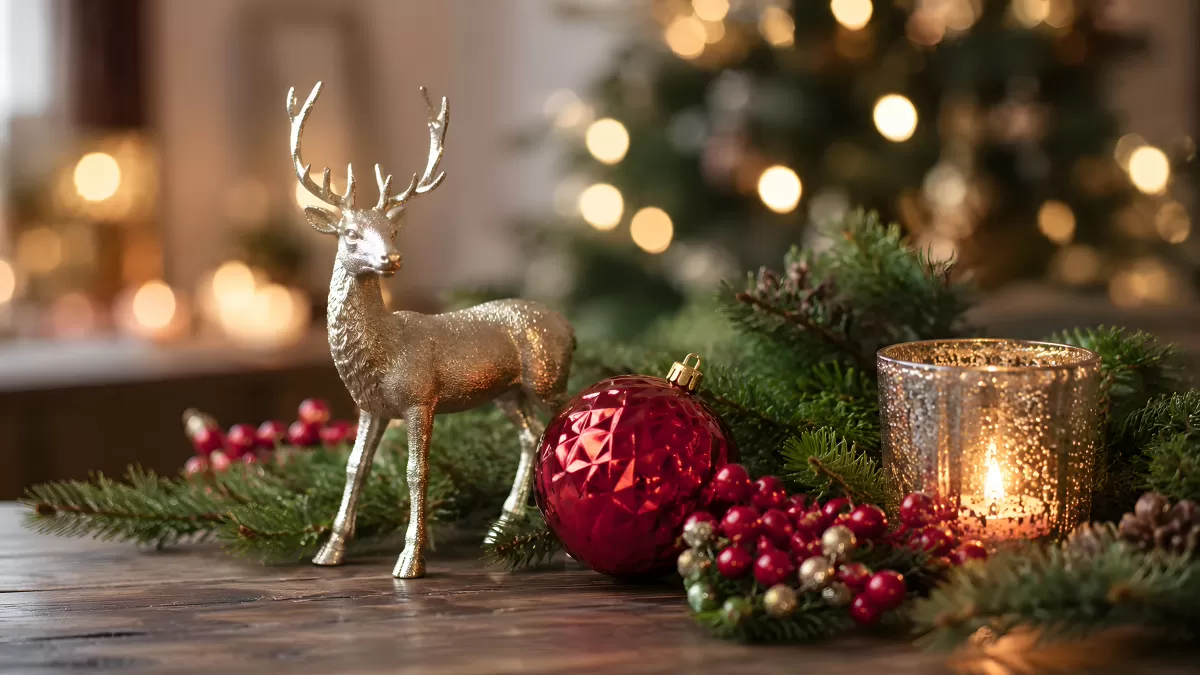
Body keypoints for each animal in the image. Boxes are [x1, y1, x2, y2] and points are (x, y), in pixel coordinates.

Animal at [287, 81, 575, 579]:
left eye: (392, 230)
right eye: (350, 233)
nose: (392, 259)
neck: (382, 351)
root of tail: (569, 328)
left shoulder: (420, 398)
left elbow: (414, 473)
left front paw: (410, 560)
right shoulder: (370, 407)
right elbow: (355, 466)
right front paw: (330, 549)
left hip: (546, 378)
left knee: (561, 423)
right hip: (507, 392)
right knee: (529, 435)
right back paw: (503, 523)